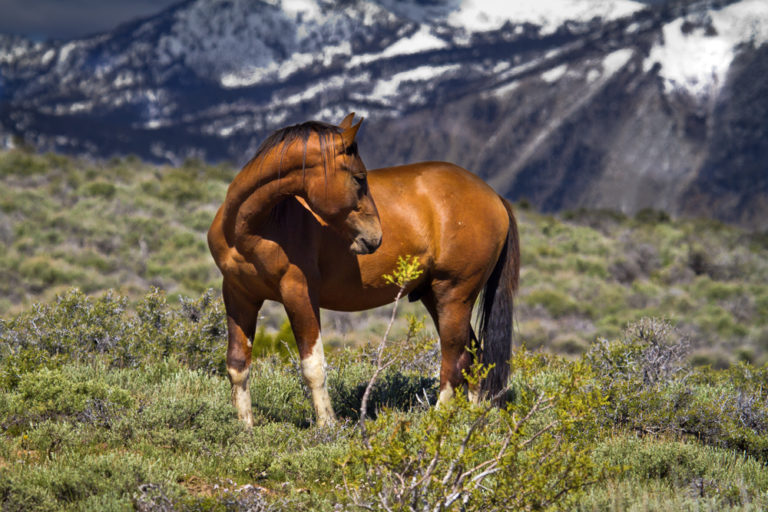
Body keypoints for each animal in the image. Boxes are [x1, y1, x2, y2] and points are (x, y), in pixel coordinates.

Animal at [207, 113, 520, 428]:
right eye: (359, 177)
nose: (375, 237)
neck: (254, 227)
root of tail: (494, 197)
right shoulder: (239, 296)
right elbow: (237, 364)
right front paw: (245, 427)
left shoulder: (298, 294)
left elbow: (313, 366)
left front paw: (328, 427)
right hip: (435, 296)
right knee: (473, 356)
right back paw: (471, 419)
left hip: (454, 295)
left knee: (454, 359)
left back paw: (437, 420)